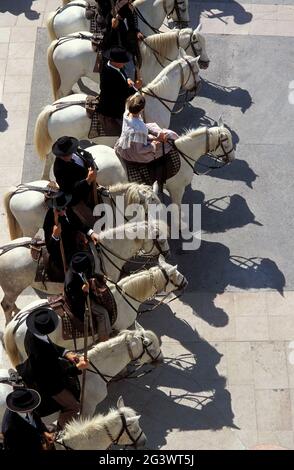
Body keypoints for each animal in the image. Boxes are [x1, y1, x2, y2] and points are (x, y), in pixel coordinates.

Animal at [47, 26, 207, 98]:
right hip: (68, 78)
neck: (154, 56)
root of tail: (60, 41)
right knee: (61, 92)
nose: (206, 63)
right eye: (198, 45)